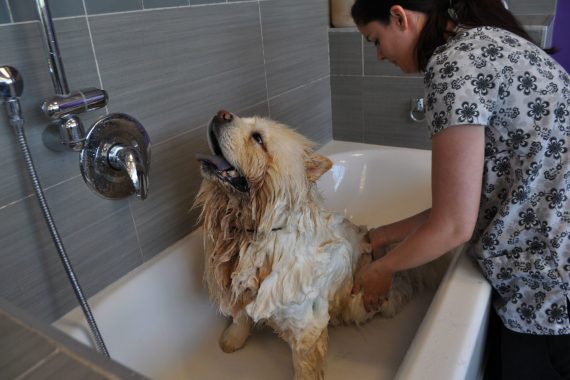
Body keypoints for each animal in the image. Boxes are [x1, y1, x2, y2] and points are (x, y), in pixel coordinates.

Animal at [193, 110, 446, 380]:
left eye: (258, 138)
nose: (221, 114)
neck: (251, 231)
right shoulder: (239, 289)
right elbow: (240, 318)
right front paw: (231, 340)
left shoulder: (306, 327)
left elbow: (304, 367)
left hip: (362, 301)